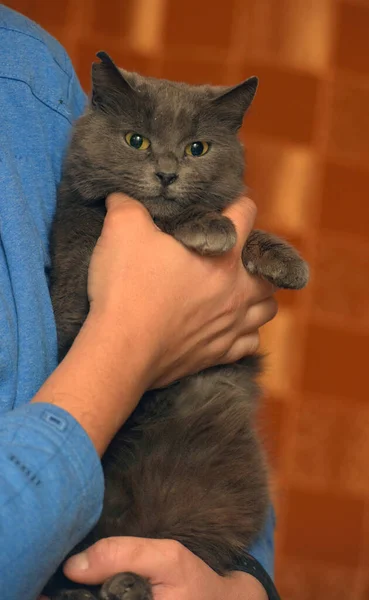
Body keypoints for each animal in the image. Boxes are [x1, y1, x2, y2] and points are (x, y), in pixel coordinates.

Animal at [44, 52, 306, 600]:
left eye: (197, 148)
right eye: (136, 140)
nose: (166, 174)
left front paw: (285, 261)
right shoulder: (76, 282)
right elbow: (160, 218)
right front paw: (209, 226)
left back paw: (125, 583)